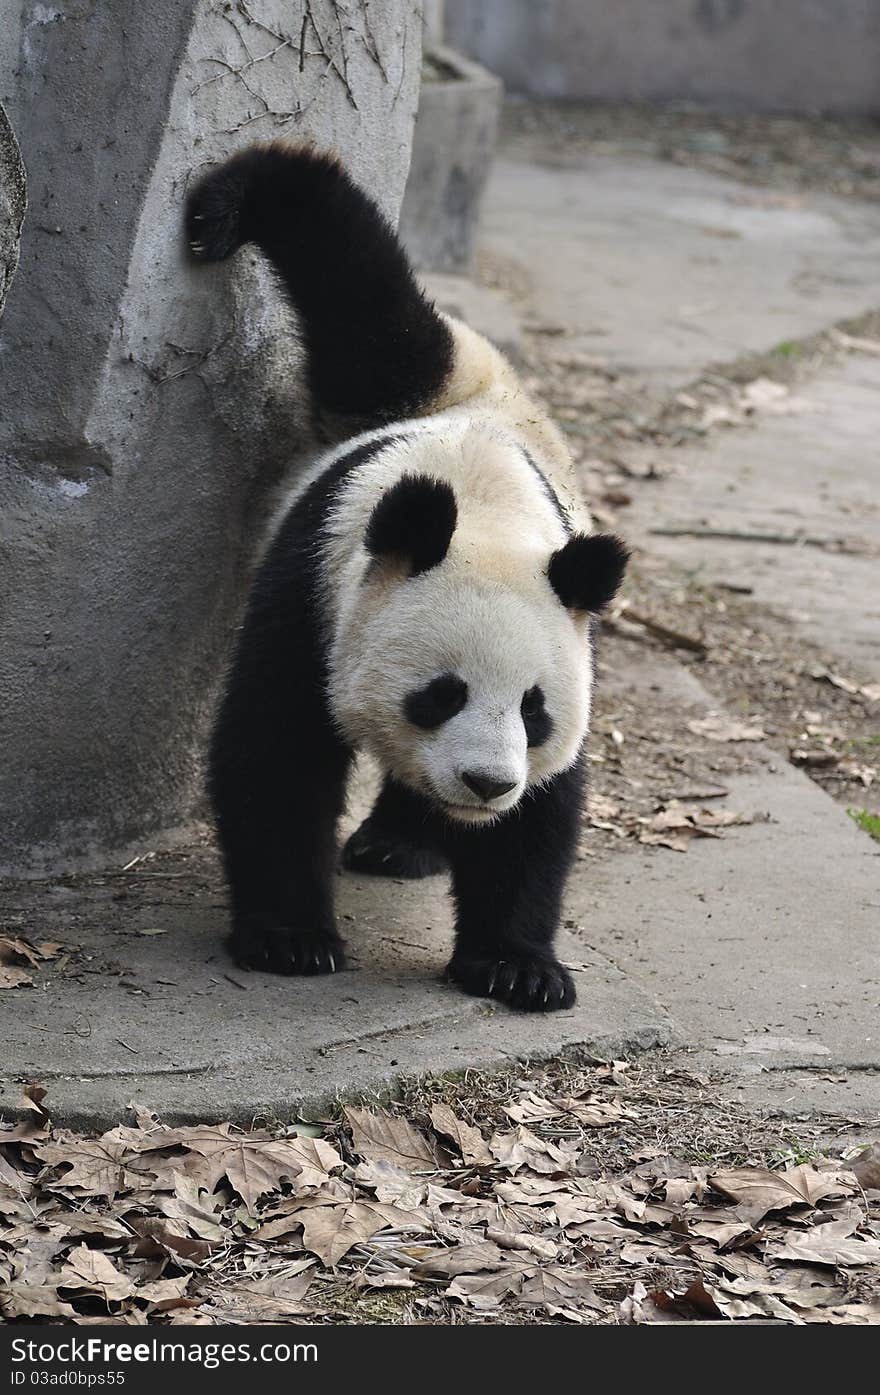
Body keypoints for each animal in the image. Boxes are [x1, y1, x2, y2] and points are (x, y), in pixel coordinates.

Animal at [185, 141, 627, 1015]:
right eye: (440, 694)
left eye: (535, 710)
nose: (486, 781)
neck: (477, 501)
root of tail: (470, 396)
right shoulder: (314, 590)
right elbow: (276, 750)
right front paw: (290, 938)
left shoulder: (571, 639)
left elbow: (542, 813)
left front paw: (516, 965)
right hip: (397, 382)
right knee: (366, 309)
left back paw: (401, 842)